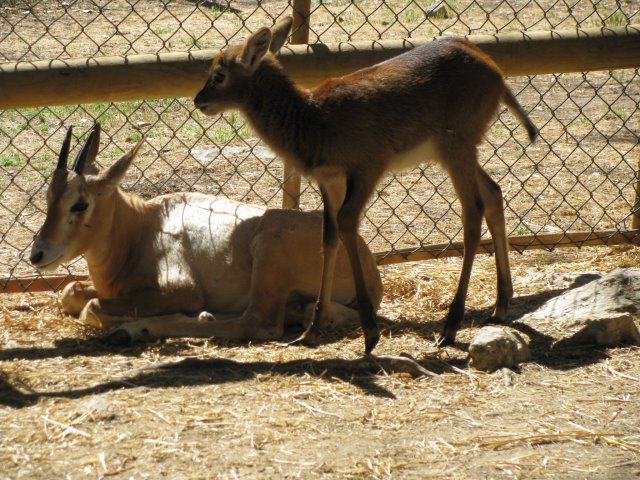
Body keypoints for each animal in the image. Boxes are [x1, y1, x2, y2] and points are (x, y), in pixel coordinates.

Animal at [28, 122, 380, 344]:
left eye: (80, 204)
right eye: (49, 198)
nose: (37, 254)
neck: (141, 226)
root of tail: (368, 265)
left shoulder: (182, 291)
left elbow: (93, 307)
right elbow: (70, 292)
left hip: (268, 247)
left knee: (257, 323)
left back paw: (141, 329)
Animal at [192, 15, 536, 352]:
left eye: (219, 74)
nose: (198, 100)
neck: (314, 121)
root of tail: (497, 74)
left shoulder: (368, 166)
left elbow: (347, 222)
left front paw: (370, 332)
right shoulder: (329, 180)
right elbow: (329, 234)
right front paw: (310, 332)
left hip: (457, 146)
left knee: (472, 212)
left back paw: (450, 328)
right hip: (456, 150)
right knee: (493, 193)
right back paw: (500, 307)